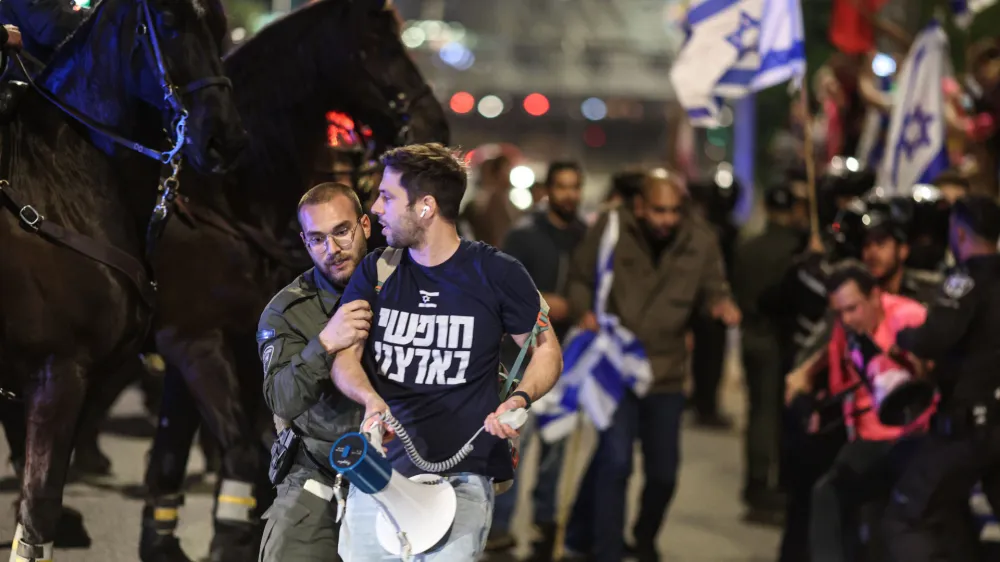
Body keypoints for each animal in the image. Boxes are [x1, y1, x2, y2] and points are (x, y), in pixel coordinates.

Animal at [64, 2, 448, 556]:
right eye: (377, 42)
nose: (433, 122)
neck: (225, 198)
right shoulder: (194, 339)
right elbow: (241, 446)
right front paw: (223, 537)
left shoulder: (229, 340)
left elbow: (184, 443)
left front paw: (171, 537)